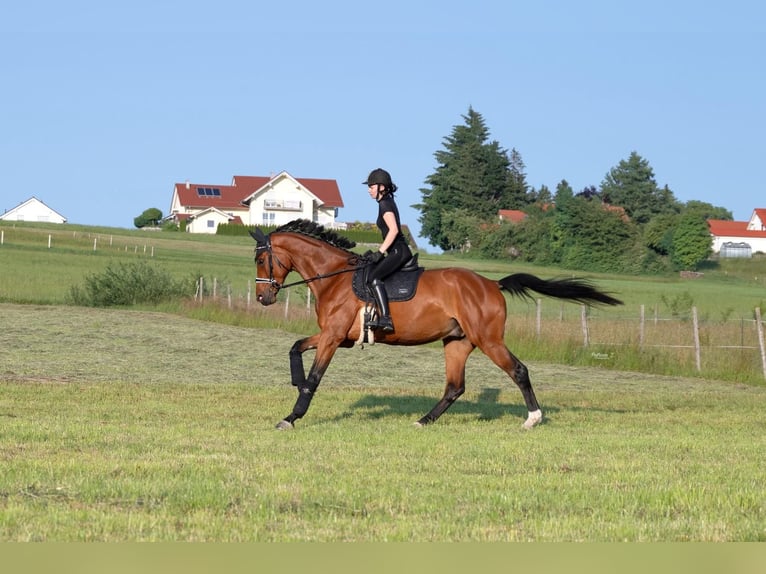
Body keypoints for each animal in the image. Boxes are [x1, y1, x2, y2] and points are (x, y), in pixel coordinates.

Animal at [250, 219, 622, 430]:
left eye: (261, 258)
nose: (262, 298)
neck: (335, 278)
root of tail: (491, 284)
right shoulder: (336, 336)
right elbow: (295, 347)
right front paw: (296, 382)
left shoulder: (332, 337)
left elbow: (315, 376)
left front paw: (292, 416)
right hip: (457, 342)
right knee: (454, 387)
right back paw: (423, 421)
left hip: (488, 339)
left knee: (518, 371)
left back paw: (533, 419)